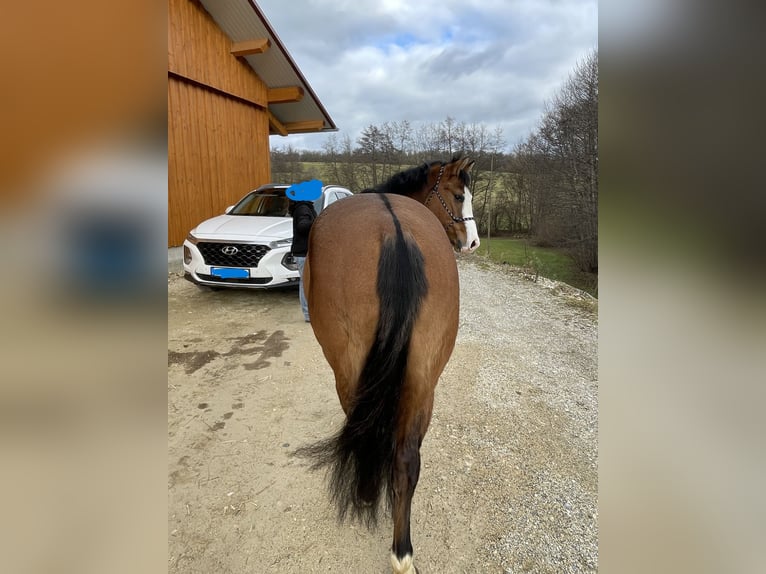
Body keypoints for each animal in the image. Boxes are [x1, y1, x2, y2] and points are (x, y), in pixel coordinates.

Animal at [300, 155, 480, 572]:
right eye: (459, 195)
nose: (473, 242)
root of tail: (394, 232)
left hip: (350, 372)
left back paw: (367, 492)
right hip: (423, 382)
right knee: (407, 460)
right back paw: (402, 551)